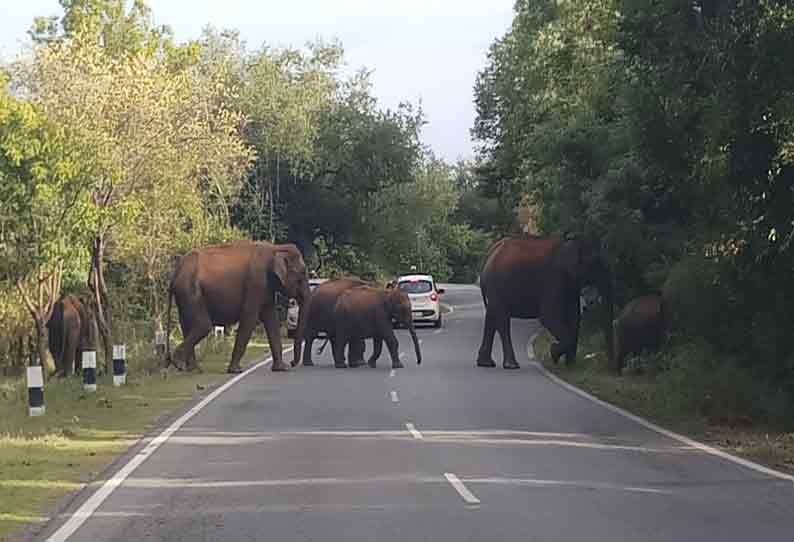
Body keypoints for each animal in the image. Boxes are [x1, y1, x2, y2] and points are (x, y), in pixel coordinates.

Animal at [166, 241, 308, 374]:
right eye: (302, 273)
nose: (292, 363)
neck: (276, 248)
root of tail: (175, 272)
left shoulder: (266, 287)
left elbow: (271, 318)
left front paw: (281, 368)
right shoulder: (256, 282)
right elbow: (250, 317)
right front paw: (236, 370)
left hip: (184, 295)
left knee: (186, 325)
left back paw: (192, 369)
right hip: (190, 291)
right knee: (203, 325)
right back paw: (179, 363)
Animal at [476, 239, 612, 372]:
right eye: (595, 264)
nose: (591, 303)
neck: (569, 245)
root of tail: (490, 254)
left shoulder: (571, 283)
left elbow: (574, 317)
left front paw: (571, 366)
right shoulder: (554, 278)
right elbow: (549, 316)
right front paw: (554, 353)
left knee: (491, 318)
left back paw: (486, 363)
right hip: (497, 286)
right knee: (502, 321)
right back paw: (511, 365)